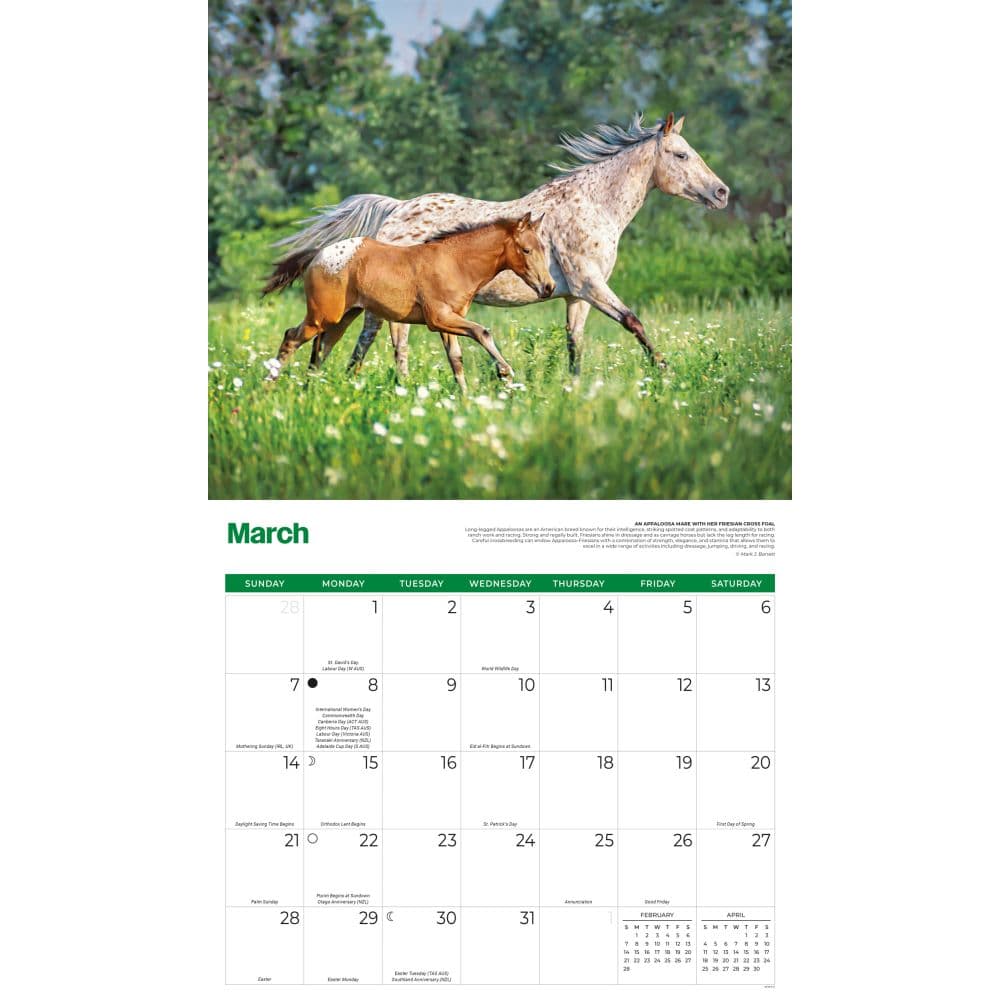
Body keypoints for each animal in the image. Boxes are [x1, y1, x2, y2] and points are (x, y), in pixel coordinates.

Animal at [264, 213, 554, 388]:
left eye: (544, 248)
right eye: (526, 250)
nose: (548, 287)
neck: (455, 263)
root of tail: (318, 254)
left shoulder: (448, 323)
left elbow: (456, 359)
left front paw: (465, 399)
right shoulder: (439, 318)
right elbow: (482, 332)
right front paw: (505, 372)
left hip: (342, 319)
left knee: (321, 348)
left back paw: (310, 388)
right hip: (322, 316)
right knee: (292, 338)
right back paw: (269, 385)